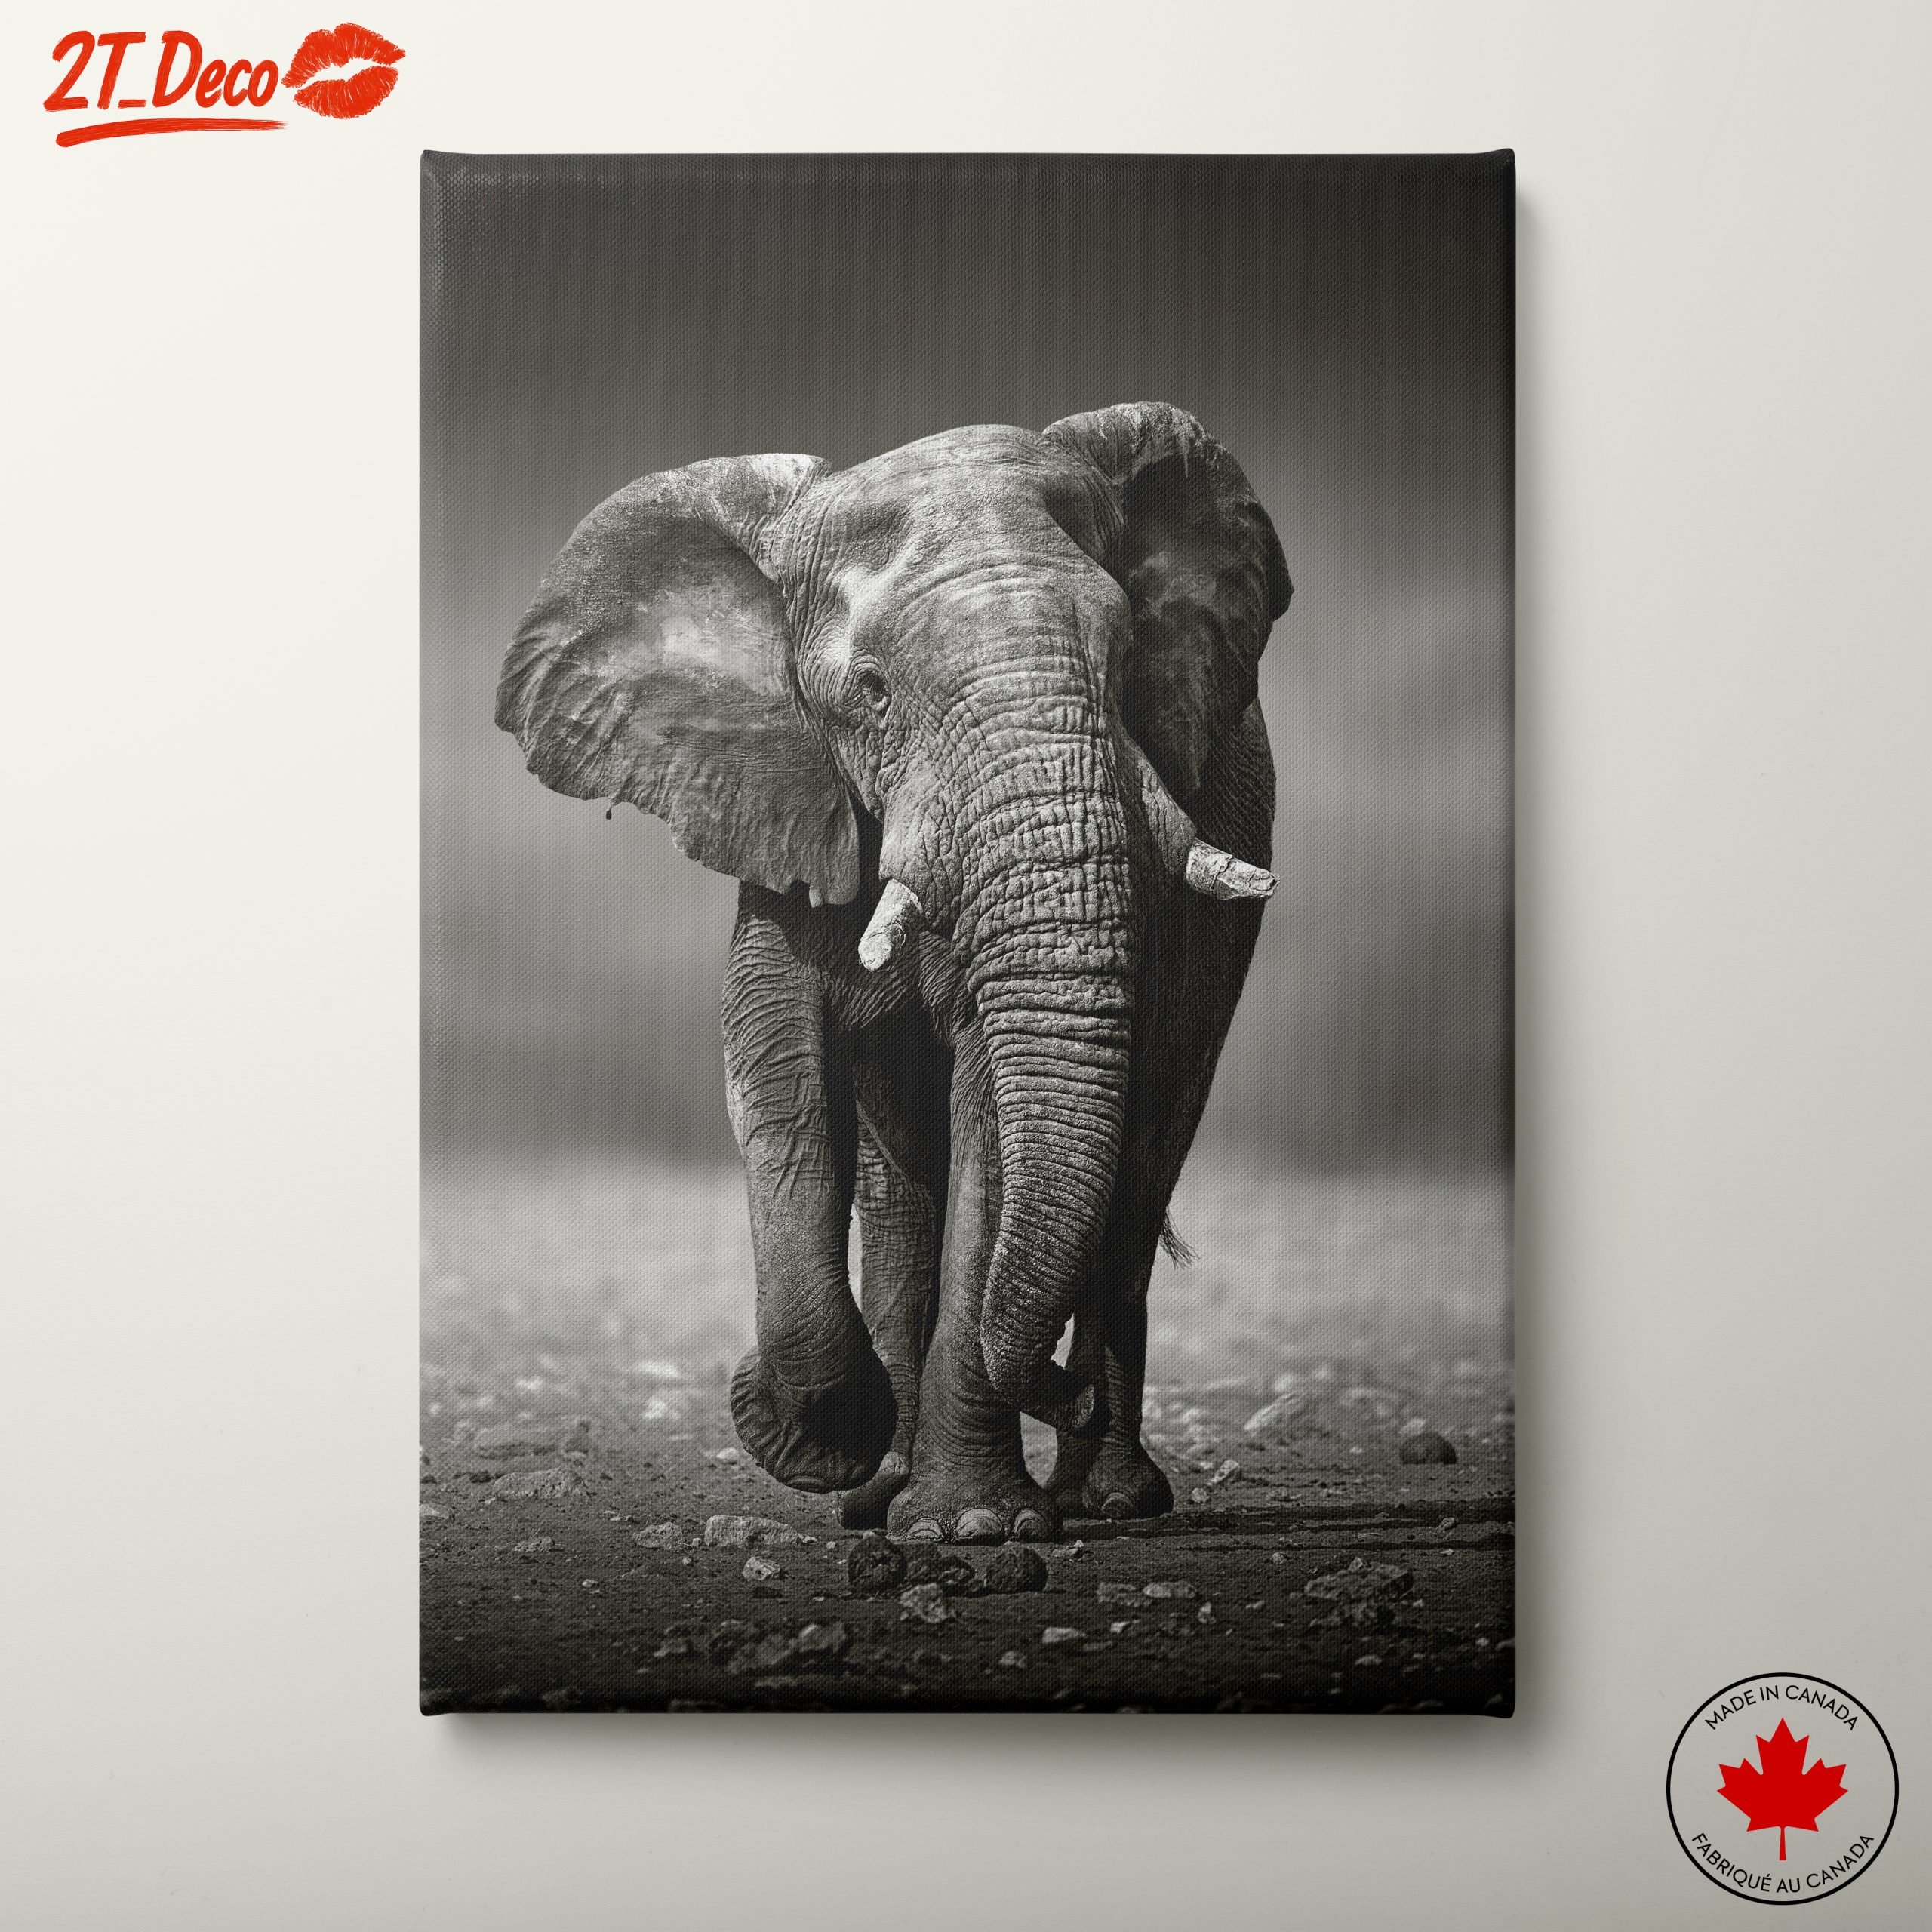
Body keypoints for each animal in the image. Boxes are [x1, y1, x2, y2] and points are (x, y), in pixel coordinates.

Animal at [497, 402, 1291, 1543]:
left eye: (1128, 657)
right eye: (871, 694)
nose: (1059, 1390)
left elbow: (991, 1109)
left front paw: (975, 1527)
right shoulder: (785, 798)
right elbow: (776, 1076)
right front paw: (816, 1440)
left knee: (1138, 1169)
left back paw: (1106, 1498)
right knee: (902, 1189)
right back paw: (884, 1490)